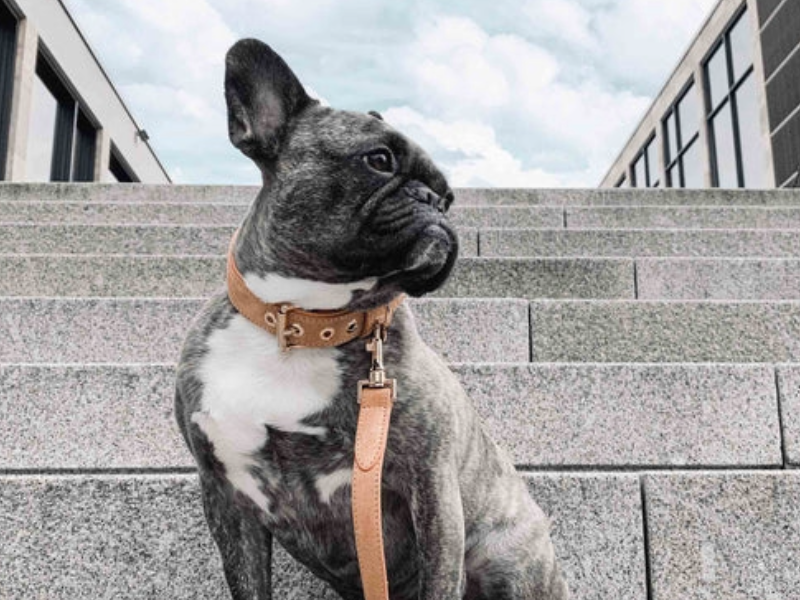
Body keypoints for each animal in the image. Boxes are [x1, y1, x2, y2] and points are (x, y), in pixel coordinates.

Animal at [173, 38, 568, 600]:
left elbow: (439, 579)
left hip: (509, 561)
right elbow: (248, 581)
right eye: (379, 159)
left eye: (448, 196)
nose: (436, 202)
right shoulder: (227, 496)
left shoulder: (432, 487)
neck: (307, 322)